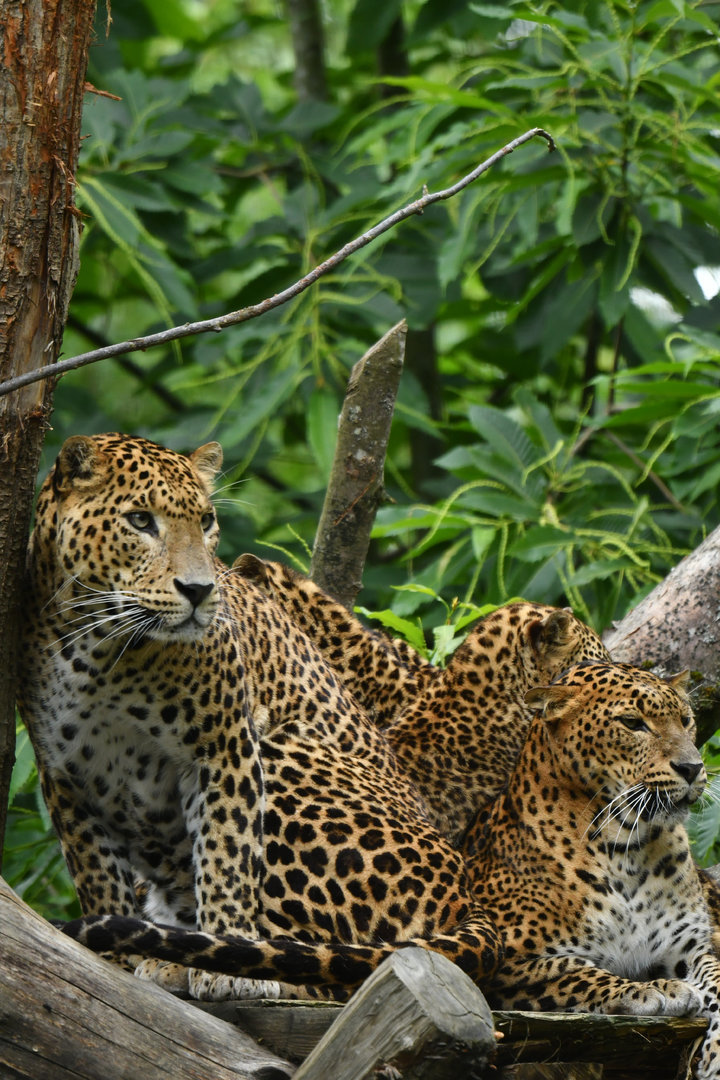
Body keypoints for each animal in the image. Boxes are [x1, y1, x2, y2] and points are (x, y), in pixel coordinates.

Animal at [17, 432, 501, 1002]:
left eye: (206, 521)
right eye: (139, 520)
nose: (199, 590)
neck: (103, 649)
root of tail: (464, 894)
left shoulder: (224, 745)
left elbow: (227, 854)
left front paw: (230, 961)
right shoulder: (65, 771)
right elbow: (96, 874)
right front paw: (115, 958)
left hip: (285, 759)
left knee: (337, 967)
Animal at [461, 661, 720, 1080]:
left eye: (686, 720)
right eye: (632, 722)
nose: (693, 767)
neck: (628, 849)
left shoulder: (691, 947)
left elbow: (719, 978)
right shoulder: (502, 962)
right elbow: (574, 971)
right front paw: (655, 989)